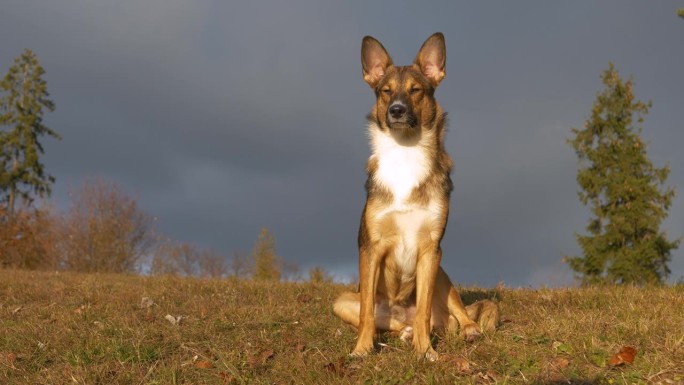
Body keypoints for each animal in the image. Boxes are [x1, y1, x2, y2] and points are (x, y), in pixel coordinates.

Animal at [334, 33, 500, 360]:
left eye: (416, 90)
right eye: (385, 91)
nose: (396, 110)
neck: (405, 153)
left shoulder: (431, 250)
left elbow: (423, 309)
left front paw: (425, 352)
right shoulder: (370, 248)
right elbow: (366, 312)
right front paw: (362, 349)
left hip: (442, 275)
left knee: (458, 313)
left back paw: (466, 330)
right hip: (342, 301)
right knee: (386, 322)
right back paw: (402, 332)